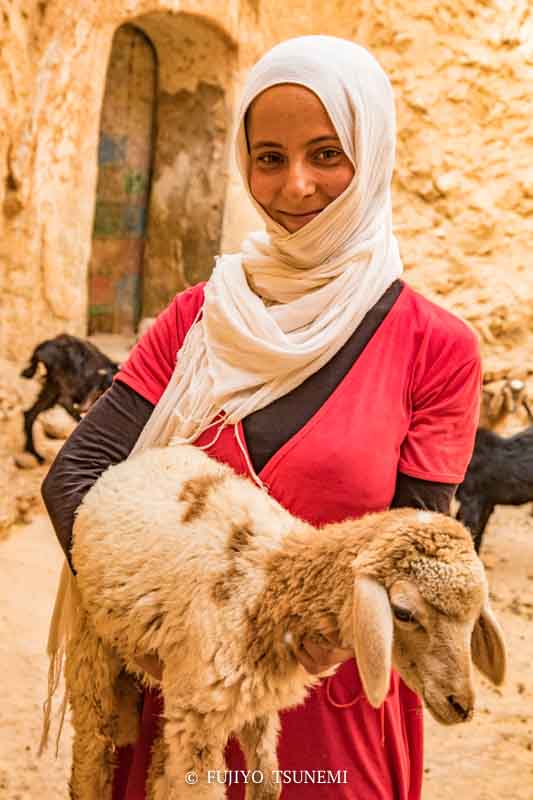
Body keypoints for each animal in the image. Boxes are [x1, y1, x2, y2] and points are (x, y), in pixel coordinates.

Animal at [19, 334, 118, 466]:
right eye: (106, 386)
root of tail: (42, 349)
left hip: (51, 389)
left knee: (30, 414)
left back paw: (36, 455)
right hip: (59, 384)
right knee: (63, 402)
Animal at [66, 446, 508, 796]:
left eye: (473, 617)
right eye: (403, 612)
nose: (462, 705)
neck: (270, 580)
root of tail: (133, 462)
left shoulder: (250, 697)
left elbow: (268, 784)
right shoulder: (201, 712)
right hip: (92, 647)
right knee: (92, 754)